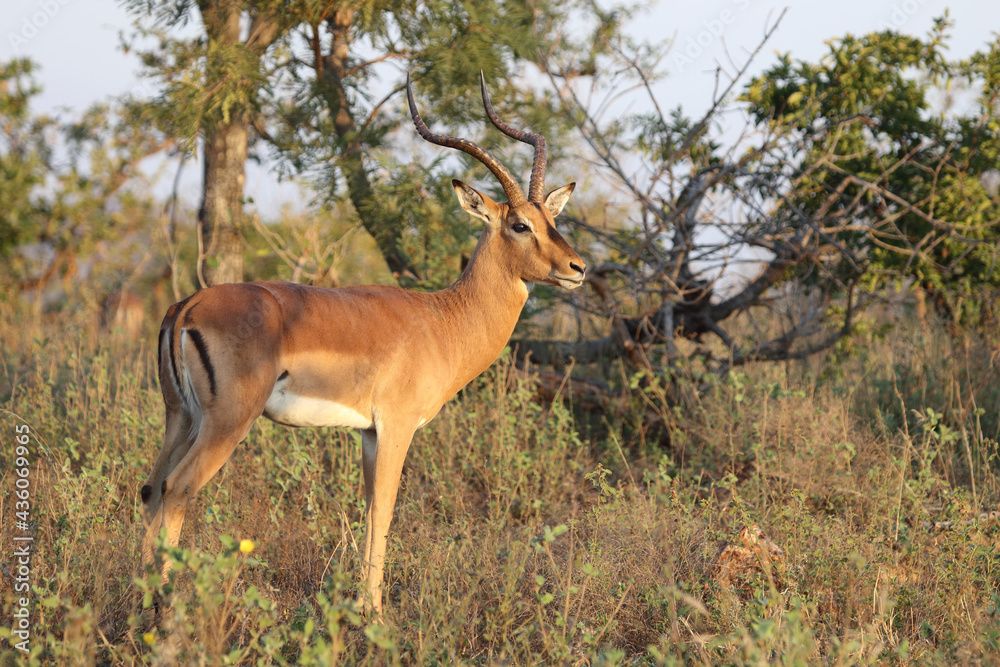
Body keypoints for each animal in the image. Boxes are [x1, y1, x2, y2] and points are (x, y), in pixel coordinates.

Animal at [139, 73, 586, 616]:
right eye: (520, 224)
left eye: (552, 221)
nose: (577, 268)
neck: (443, 319)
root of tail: (186, 307)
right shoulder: (396, 426)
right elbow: (385, 512)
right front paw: (374, 612)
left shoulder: (369, 434)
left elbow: (370, 508)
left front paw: (360, 604)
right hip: (227, 421)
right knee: (178, 488)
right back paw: (165, 604)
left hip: (181, 417)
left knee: (152, 488)